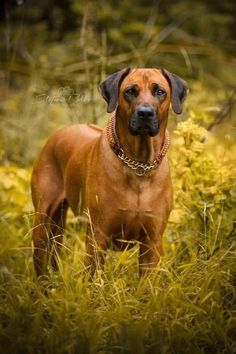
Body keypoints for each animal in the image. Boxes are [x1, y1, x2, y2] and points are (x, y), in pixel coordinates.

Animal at [31, 68, 188, 278]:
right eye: (130, 91)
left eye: (160, 91)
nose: (145, 113)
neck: (139, 165)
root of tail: (55, 135)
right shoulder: (98, 236)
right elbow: (94, 278)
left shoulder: (152, 241)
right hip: (43, 217)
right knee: (40, 253)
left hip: (58, 225)